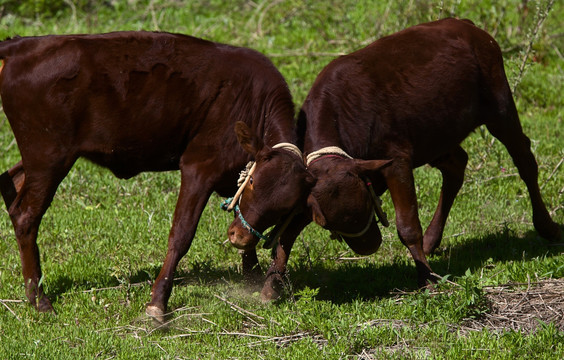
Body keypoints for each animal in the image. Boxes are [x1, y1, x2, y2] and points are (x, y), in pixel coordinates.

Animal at [0, 31, 300, 322]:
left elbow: (247, 218)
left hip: (43, 158)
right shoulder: (199, 168)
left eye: (285, 208)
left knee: (9, 181)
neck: (254, 103)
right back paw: (40, 301)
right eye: (253, 183)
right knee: (26, 215)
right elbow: (181, 234)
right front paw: (157, 304)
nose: (240, 238)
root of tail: (24, 45)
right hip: (49, 157)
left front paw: (253, 277)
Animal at [227, 18, 560, 300]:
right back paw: (432, 240)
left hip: (500, 105)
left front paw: (425, 277)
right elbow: (288, 233)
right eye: (330, 223)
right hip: (436, 135)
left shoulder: (397, 161)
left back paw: (547, 226)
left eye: (364, 206)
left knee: (525, 160)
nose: (370, 246)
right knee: (457, 165)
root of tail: (469, 27)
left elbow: (407, 226)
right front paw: (272, 283)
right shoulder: (315, 187)